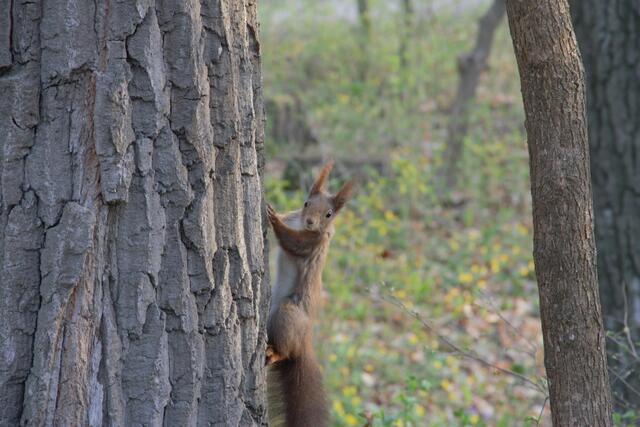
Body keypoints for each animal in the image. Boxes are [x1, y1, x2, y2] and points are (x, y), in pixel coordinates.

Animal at [265, 160, 354, 427]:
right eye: (305, 203)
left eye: (329, 214)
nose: (311, 223)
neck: (300, 224)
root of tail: (304, 341)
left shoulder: (310, 244)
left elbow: (291, 241)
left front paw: (273, 219)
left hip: (287, 315)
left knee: (286, 351)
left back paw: (275, 352)